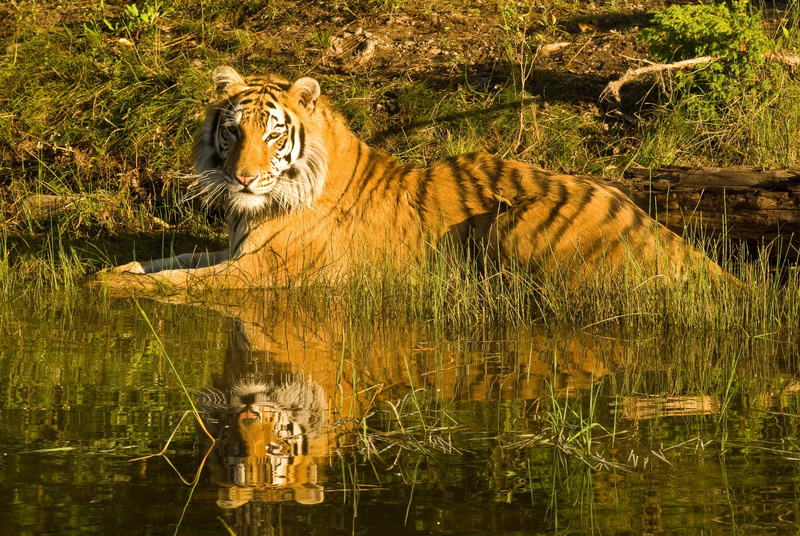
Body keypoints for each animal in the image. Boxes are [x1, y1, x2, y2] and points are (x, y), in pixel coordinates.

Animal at [96, 65, 734, 293]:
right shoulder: (233, 249)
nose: (245, 180)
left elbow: (181, 284)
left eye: (274, 136)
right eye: (233, 132)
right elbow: (172, 260)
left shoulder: (267, 269)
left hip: (516, 225)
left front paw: (112, 289)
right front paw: (110, 271)